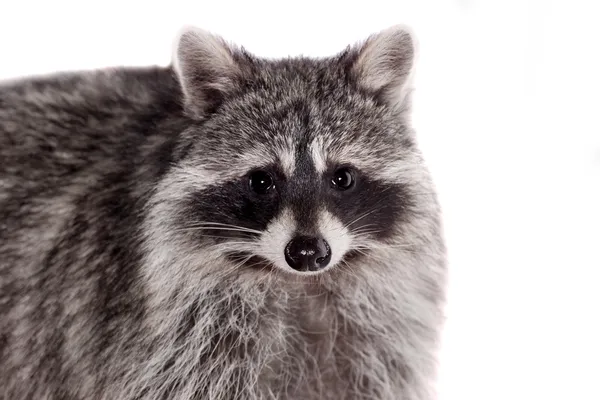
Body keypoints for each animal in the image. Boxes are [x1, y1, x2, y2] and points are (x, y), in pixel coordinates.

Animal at [0, 25, 446, 400]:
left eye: (342, 178)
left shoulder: (375, 342)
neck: (296, 285)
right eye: (261, 181)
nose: (307, 252)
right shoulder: (163, 342)